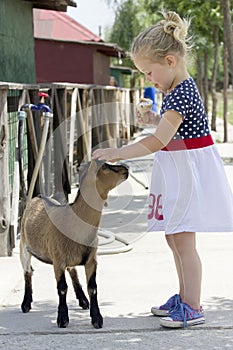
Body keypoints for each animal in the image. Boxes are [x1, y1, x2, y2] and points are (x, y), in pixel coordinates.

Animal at [19, 160, 129, 330]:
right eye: (104, 166)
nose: (126, 168)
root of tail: (38, 196)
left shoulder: (92, 260)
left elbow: (93, 287)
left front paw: (97, 318)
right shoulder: (58, 261)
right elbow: (62, 288)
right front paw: (62, 319)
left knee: (72, 271)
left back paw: (83, 300)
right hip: (24, 247)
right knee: (27, 271)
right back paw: (26, 304)